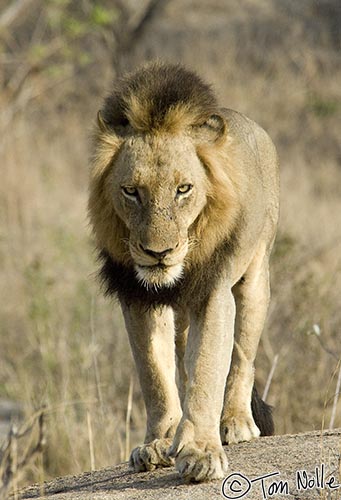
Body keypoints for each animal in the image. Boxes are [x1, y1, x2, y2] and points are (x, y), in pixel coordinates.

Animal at [88, 60, 278, 482]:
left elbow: (207, 368)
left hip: (255, 279)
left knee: (243, 357)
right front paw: (159, 442)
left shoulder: (213, 293)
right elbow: (155, 374)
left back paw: (235, 422)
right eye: (131, 191)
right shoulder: (138, 298)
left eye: (183, 189)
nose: (157, 253)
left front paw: (202, 452)